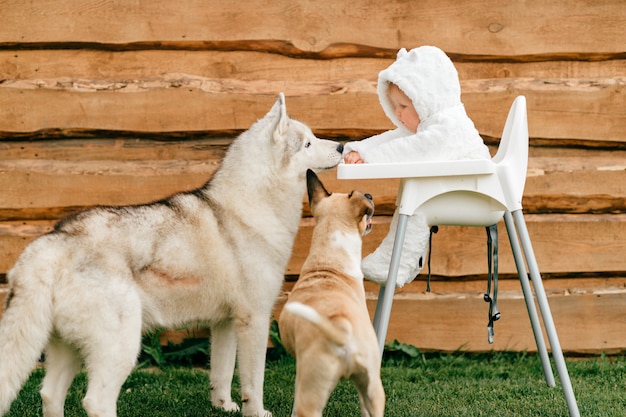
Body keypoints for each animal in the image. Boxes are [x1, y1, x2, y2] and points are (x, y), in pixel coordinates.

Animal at [0, 94, 342, 416]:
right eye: (308, 142)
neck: (250, 206)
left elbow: (221, 373)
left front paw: (223, 406)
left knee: (50, 395)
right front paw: (256, 412)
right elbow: (253, 383)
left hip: (67, 350)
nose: (340, 146)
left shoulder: (225, 323)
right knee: (95, 401)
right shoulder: (254, 318)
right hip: (121, 348)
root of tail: (57, 240)